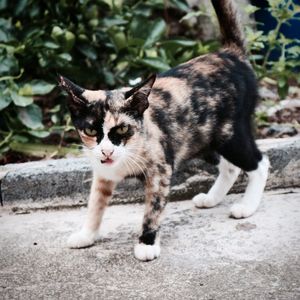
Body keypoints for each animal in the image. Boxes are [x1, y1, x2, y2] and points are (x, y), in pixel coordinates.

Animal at [58, 0, 270, 262]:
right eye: (89, 129)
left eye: (123, 128)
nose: (107, 151)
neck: (131, 148)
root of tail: (229, 54)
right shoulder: (103, 173)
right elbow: (95, 204)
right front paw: (86, 234)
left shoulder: (160, 169)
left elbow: (153, 208)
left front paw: (147, 242)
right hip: (201, 138)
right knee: (229, 167)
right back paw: (211, 198)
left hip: (230, 135)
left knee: (259, 163)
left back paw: (247, 206)